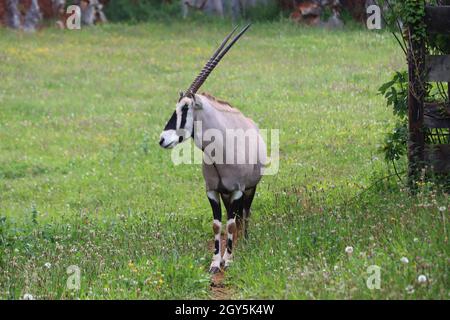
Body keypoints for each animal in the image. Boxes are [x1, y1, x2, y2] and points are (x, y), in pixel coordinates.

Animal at [158, 24, 266, 272]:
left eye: (185, 108)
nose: (163, 139)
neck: (220, 153)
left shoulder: (237, 190)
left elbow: (232, 224)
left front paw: (230, 259)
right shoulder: (213, 191)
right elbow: (218, 224)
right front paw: (216, 261)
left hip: (249, 189)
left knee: (244, 215)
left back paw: (244, 244)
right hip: (227, 195)